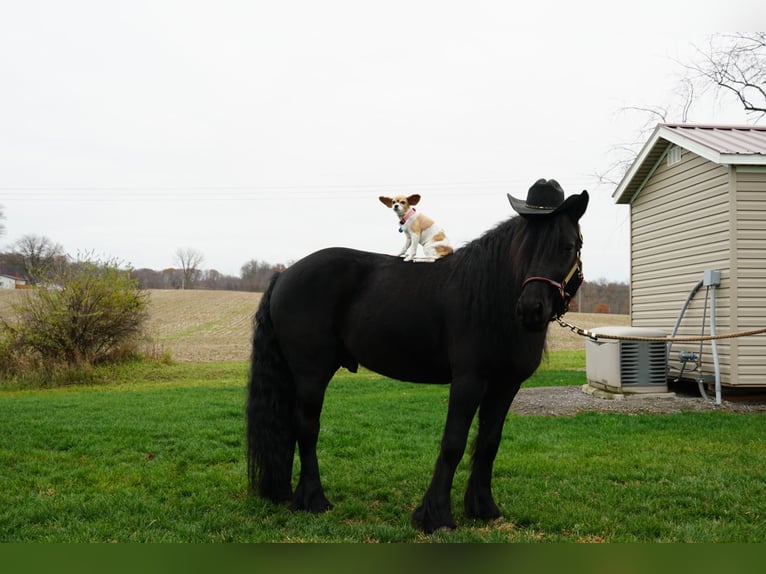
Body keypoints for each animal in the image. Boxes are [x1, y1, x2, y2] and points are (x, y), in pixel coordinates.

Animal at [246, 189, 589, 533]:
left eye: (568, 246)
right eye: (524, 247)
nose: (531, 309)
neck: (493, 300)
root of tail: (285, 274)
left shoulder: (506, 386)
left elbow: (489, 443)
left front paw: (483, 508)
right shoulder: (468, 381)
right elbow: (453, 443)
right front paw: (434, 515)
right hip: (311, 373)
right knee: (306, 428)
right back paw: (313, 499)